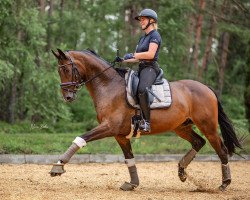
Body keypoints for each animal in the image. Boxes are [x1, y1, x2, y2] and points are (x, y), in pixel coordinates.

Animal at [49, 48, 242, 191]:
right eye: (59, 70)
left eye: (66, 69)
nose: (67, 97)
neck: (108, 86)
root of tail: (207, 88)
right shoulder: (120, 135)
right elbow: (129, 158)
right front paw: (132, 183)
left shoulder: (109, 127)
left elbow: (81, 138)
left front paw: (58, 166)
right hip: (181, 127)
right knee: (198, 142)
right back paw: (181, 171)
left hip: (207, 126)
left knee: (221, 150)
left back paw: (224, 183)